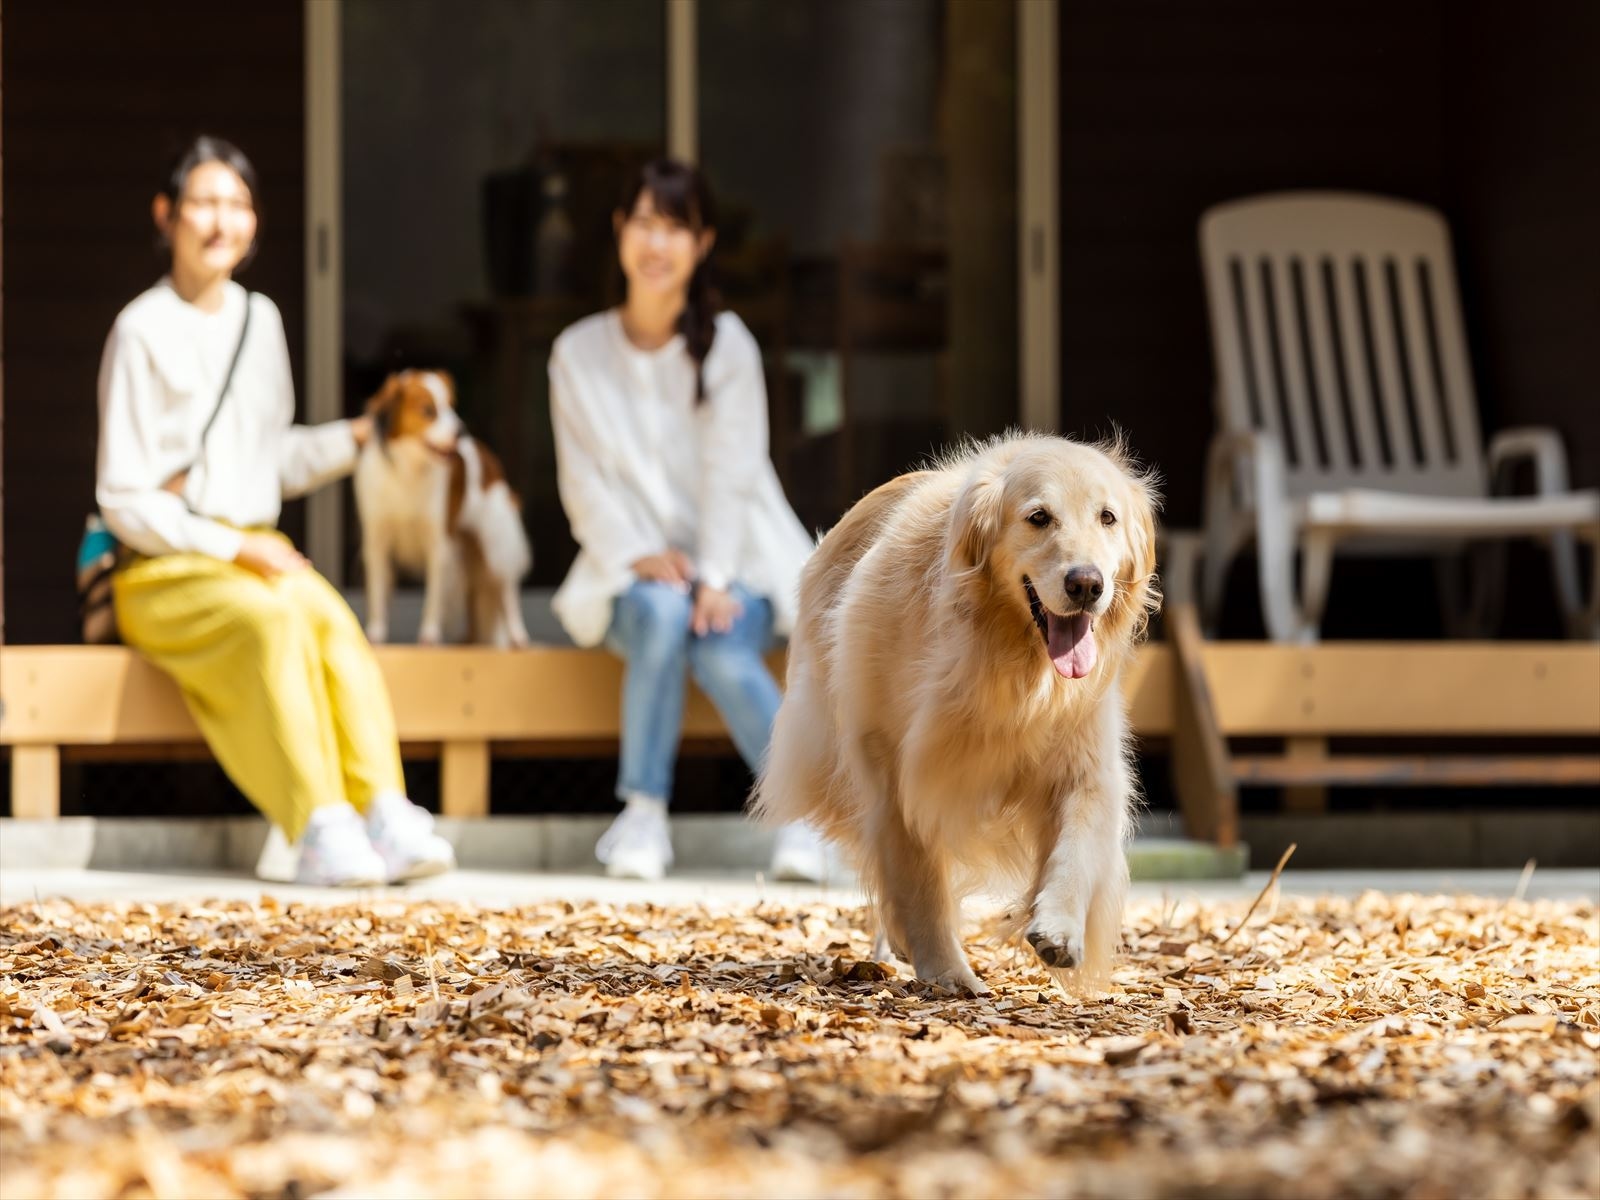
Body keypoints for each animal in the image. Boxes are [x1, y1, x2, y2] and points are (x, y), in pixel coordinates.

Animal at [355, 374, 531, 649]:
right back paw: (468, 640)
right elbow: (377, 592)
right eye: (428, 410)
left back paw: (517, 635)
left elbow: (433, 595)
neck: (409, 472)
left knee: (505, 588)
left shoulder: (439, 542)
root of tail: (488, 456)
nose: (461, 431)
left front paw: (429, 635)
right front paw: (375, 633)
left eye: (451, 406)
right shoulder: (377, 540)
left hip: (494, 542)